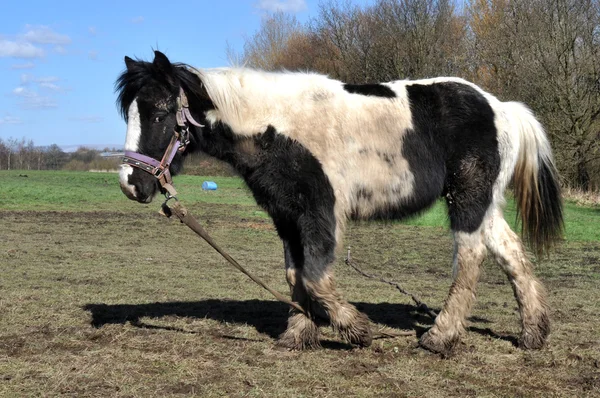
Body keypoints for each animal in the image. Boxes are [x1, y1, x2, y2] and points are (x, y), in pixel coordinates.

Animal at [116, 50, 564, 354]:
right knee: (510, 252)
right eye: (131, 114)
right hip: (485, 203)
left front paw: (355, 329)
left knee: (471, 258)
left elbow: (316, 276)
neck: (275, 128)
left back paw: (440, 336)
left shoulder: (320, 210)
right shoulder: (286, 214)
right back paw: (533, 333)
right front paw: (299, 332)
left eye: (159, 113)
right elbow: (295, 275)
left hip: (467, 200)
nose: (130, 184)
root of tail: (500, 107)